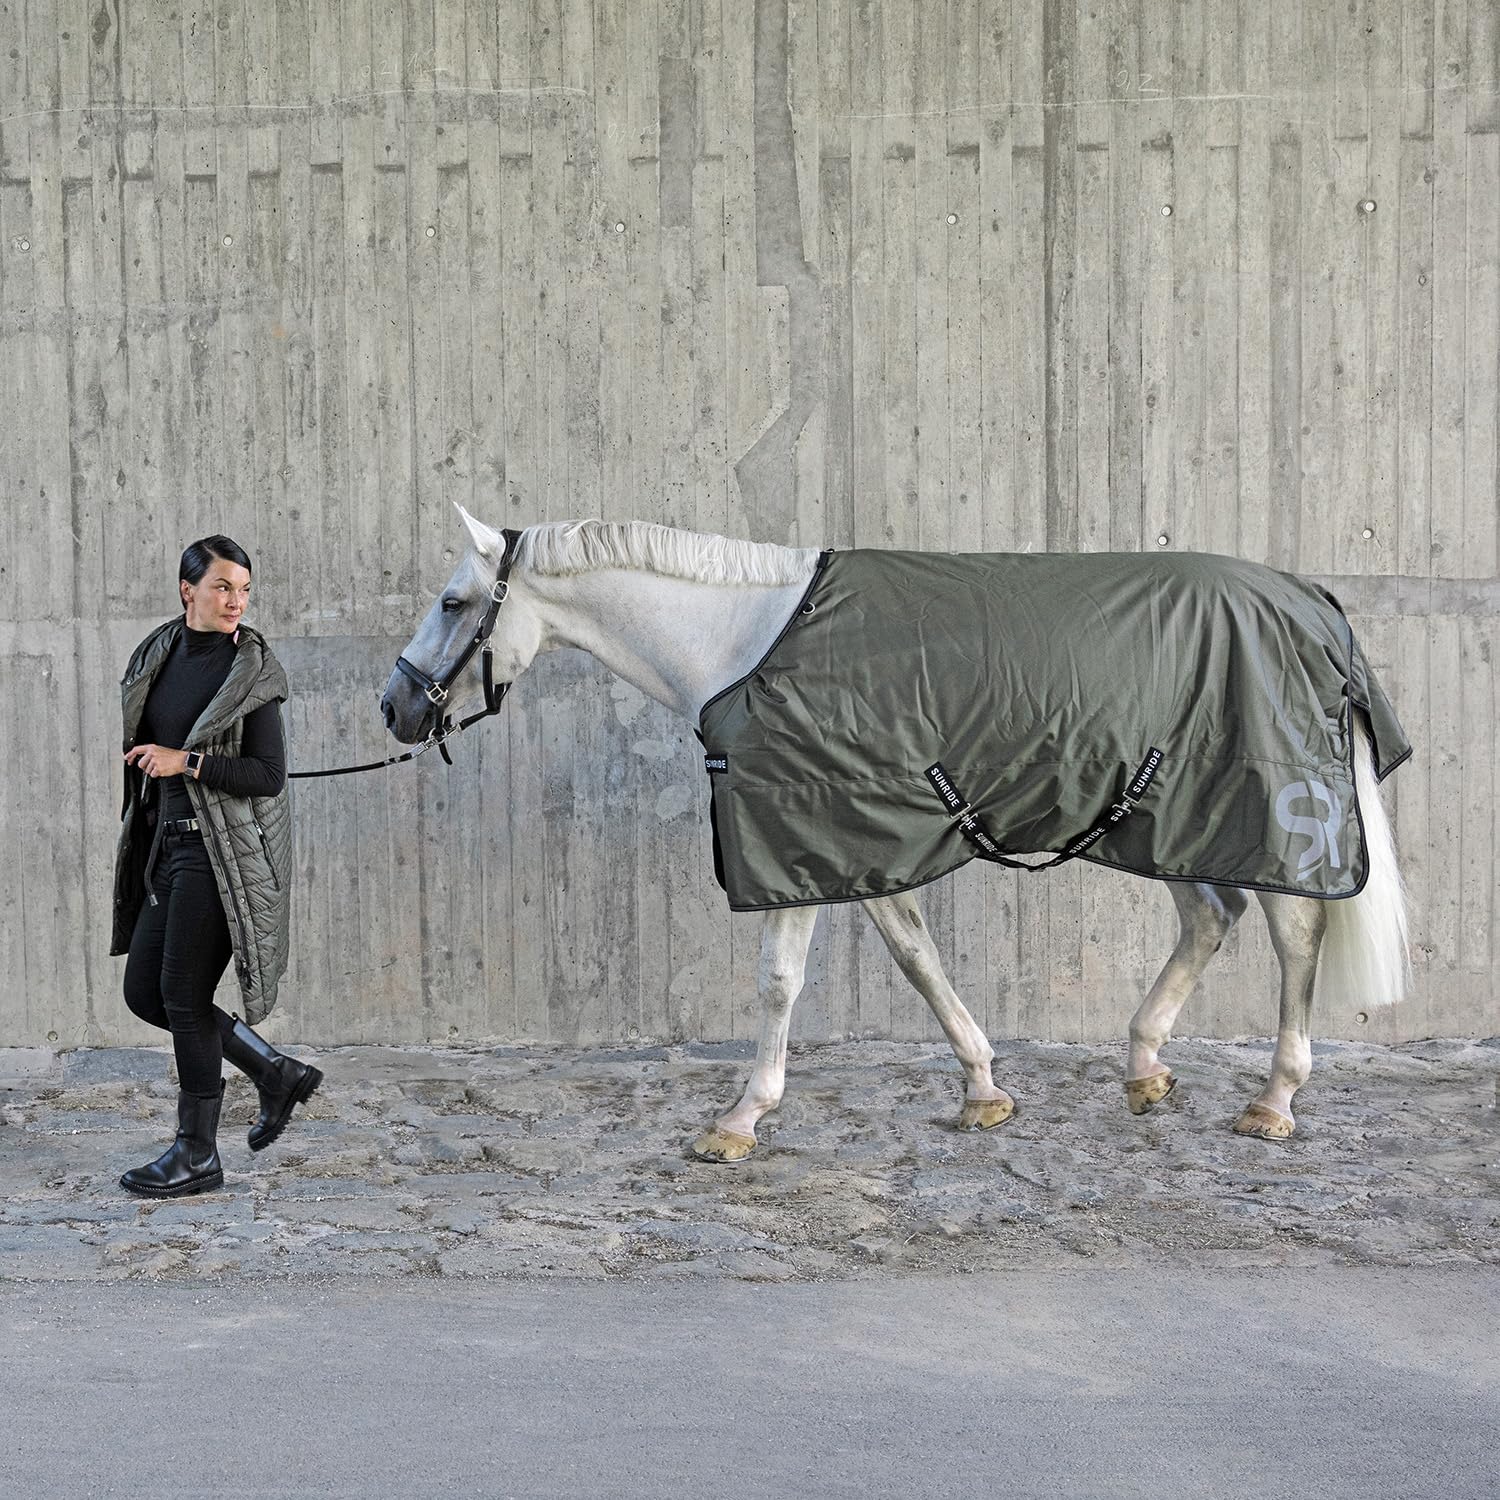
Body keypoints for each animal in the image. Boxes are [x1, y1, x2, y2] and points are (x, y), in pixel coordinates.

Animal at [381, 507, 1410, 1159]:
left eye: (451, 602)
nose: (396, 706)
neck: (748, 640)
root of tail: (1315, 604)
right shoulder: (857, 838)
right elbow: (918, 958)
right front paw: (984, 1091)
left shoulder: (797, 837)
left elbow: (780, 982)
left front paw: (738, 1120)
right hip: (1163, 815)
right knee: (1210, 916)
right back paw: (1145, 1068)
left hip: (1267, 812)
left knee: (1294, 929)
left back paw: (1273, 1100)